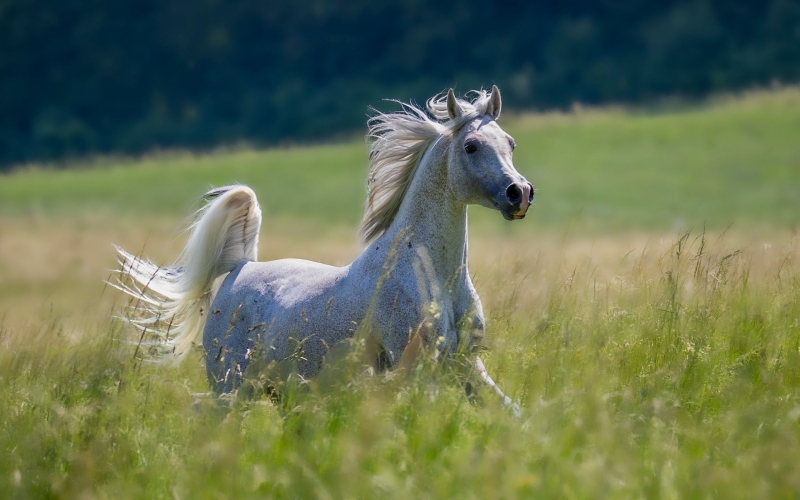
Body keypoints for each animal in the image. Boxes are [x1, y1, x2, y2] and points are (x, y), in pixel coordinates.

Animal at [114, 86, 533, 413]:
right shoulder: (416, 368)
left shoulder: (466, 365)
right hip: (231, 386)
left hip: (280, 391)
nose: (520, 193)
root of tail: (240, 268)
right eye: (471, 146)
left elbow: (511, 413)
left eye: (511, 143)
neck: (428, 274)